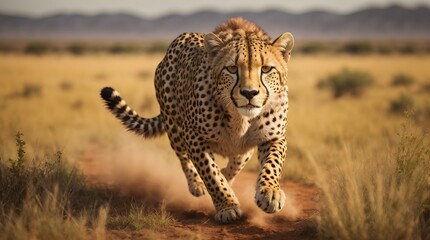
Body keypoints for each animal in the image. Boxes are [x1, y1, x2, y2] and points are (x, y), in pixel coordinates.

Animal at [101, 16, 294, 223]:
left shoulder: (273, 138)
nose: (249, 93)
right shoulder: (195, 139)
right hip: (174, 125)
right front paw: (227, 206)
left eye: (266, 69)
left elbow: (272, 165)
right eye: (232, 69)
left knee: (238, 160)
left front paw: (269, 193)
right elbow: (211, 174)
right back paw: (197, 184)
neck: (240, 118)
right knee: (184, 157)